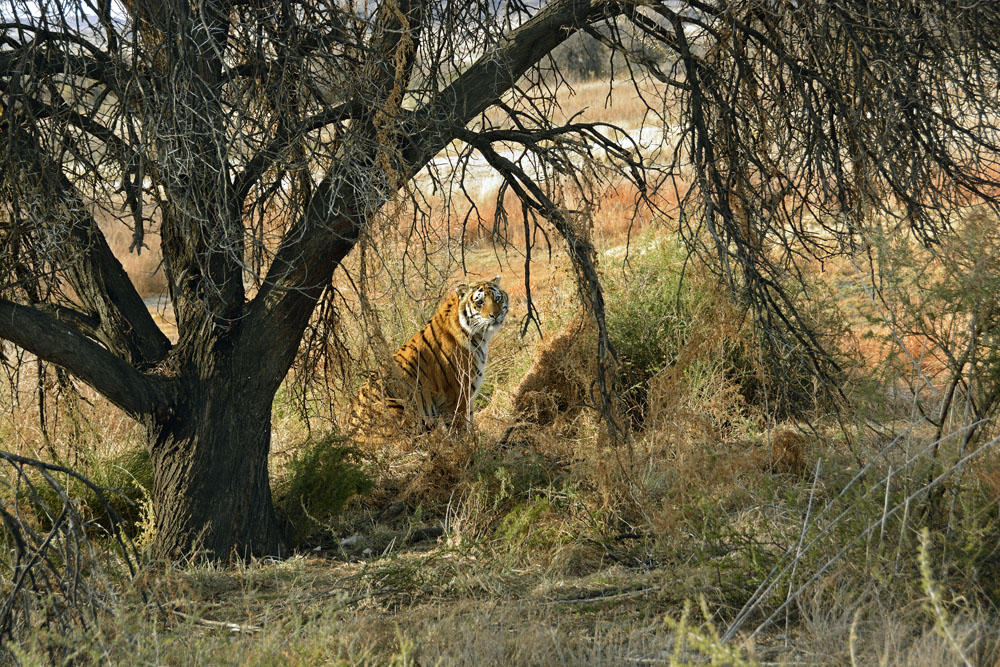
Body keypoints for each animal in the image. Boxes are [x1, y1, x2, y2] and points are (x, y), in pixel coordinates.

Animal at [351, 276, 509, 440]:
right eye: (480, 302)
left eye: (497, 298)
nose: (495, 315)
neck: (479, 336)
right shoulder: (457, 398)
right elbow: (460, 430)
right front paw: (466, 444)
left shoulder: (469, 398)